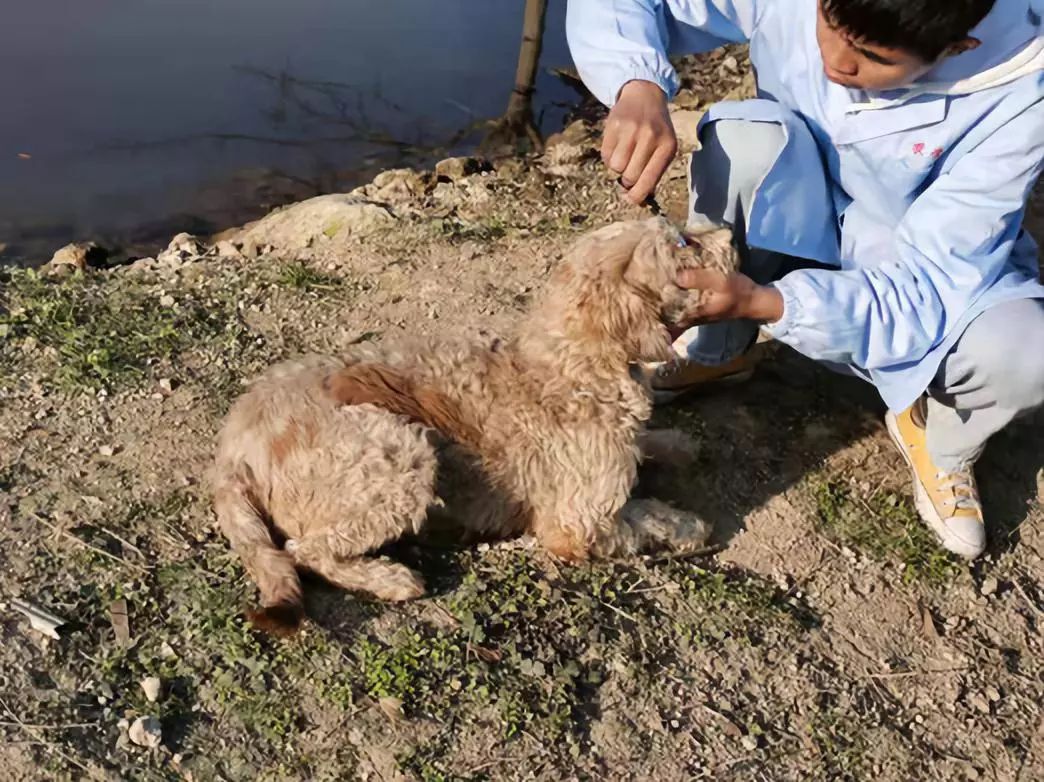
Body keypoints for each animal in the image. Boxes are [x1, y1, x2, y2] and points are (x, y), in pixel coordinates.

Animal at [209, 216, 734, 630]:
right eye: (685, 244)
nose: (731, 233)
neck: (572, 362)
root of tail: (232, 450)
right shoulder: (576, 524)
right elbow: (646, 515)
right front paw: (686, 524)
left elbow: (651, 442)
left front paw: (674, 443)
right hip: (399, 455)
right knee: (305, 550)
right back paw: (389, 578)